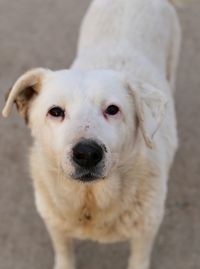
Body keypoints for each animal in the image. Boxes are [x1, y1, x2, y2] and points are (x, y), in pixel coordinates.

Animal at [2, 0, 181, 268]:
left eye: (112, 109)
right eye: (55, 111)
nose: (86, 154)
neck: (90, 201)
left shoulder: (146, 231)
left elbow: (139, 259)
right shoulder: (55, 225)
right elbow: (64, 254)